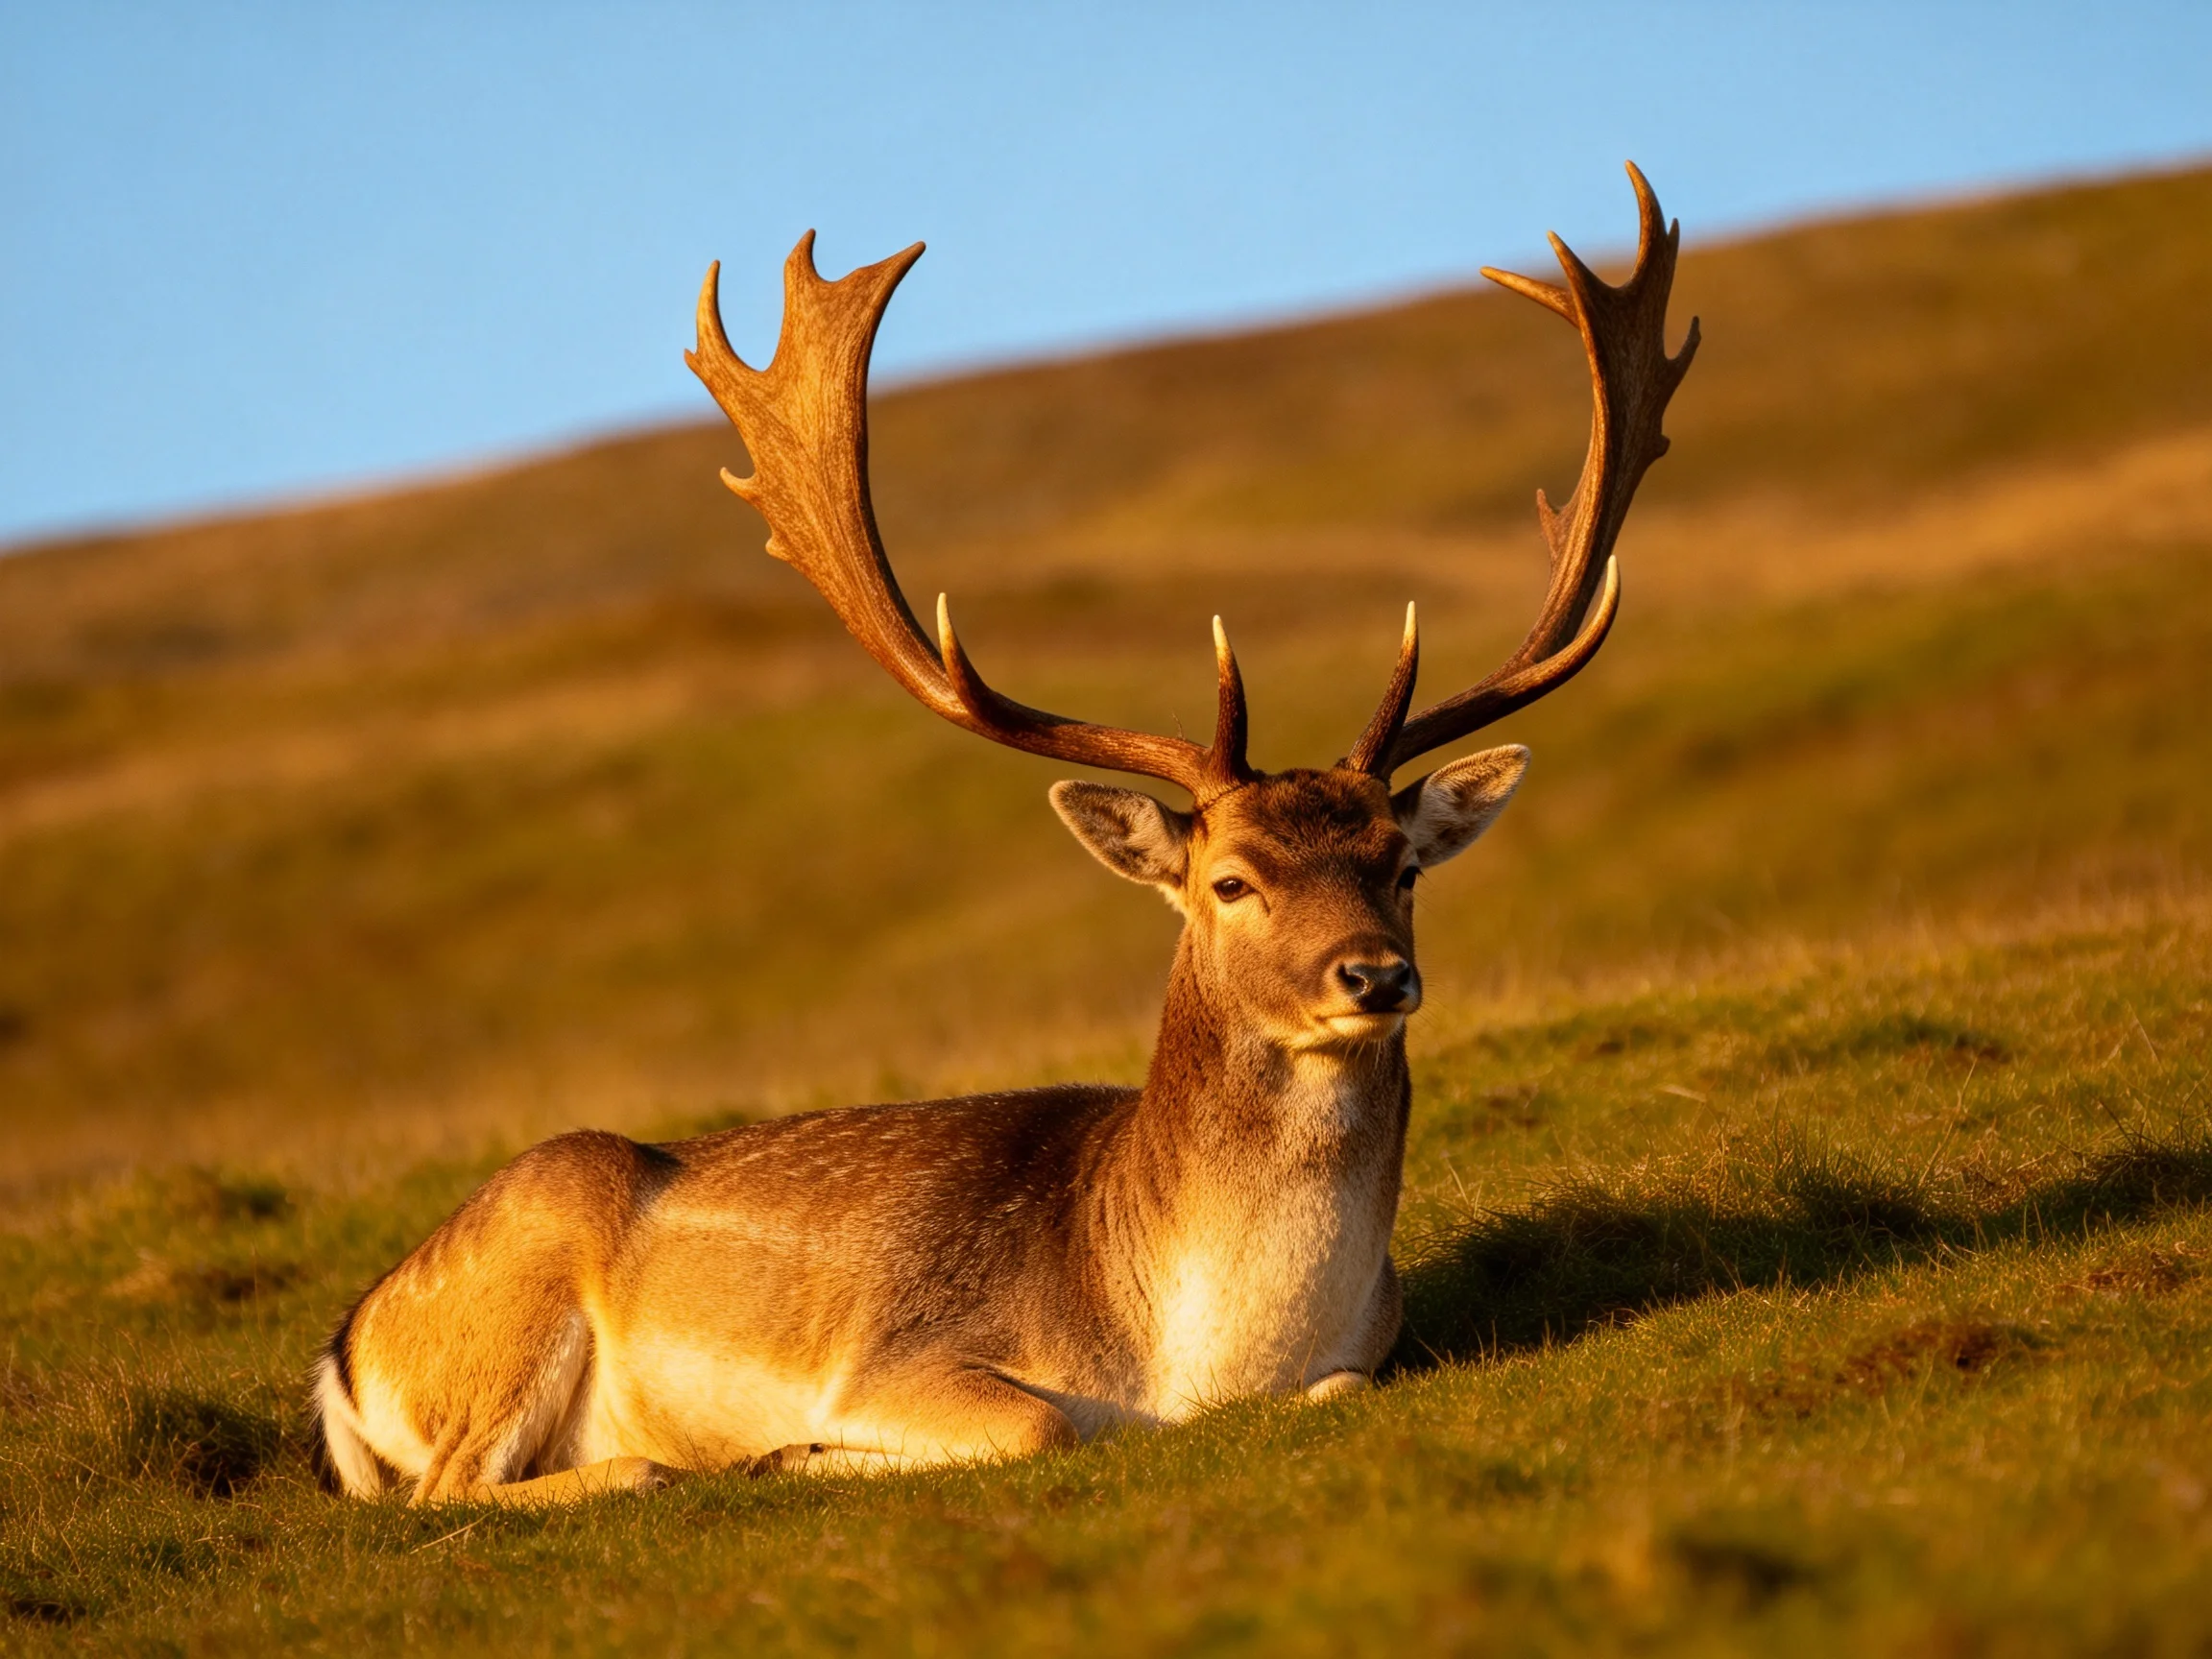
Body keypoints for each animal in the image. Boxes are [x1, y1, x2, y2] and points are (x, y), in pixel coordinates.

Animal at [314, 164, 1697, 1506]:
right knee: (446, 1490)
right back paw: (658, 1464)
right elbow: (1042, 1425)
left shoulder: (1364, 1354)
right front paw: (796, 1452)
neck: (1199, 1358)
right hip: (515, 1292)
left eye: (1402, 867)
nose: (1375, 975)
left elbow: (1346, 1388)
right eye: (1230, 880)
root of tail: (346, 1349)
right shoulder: (903, 1357)